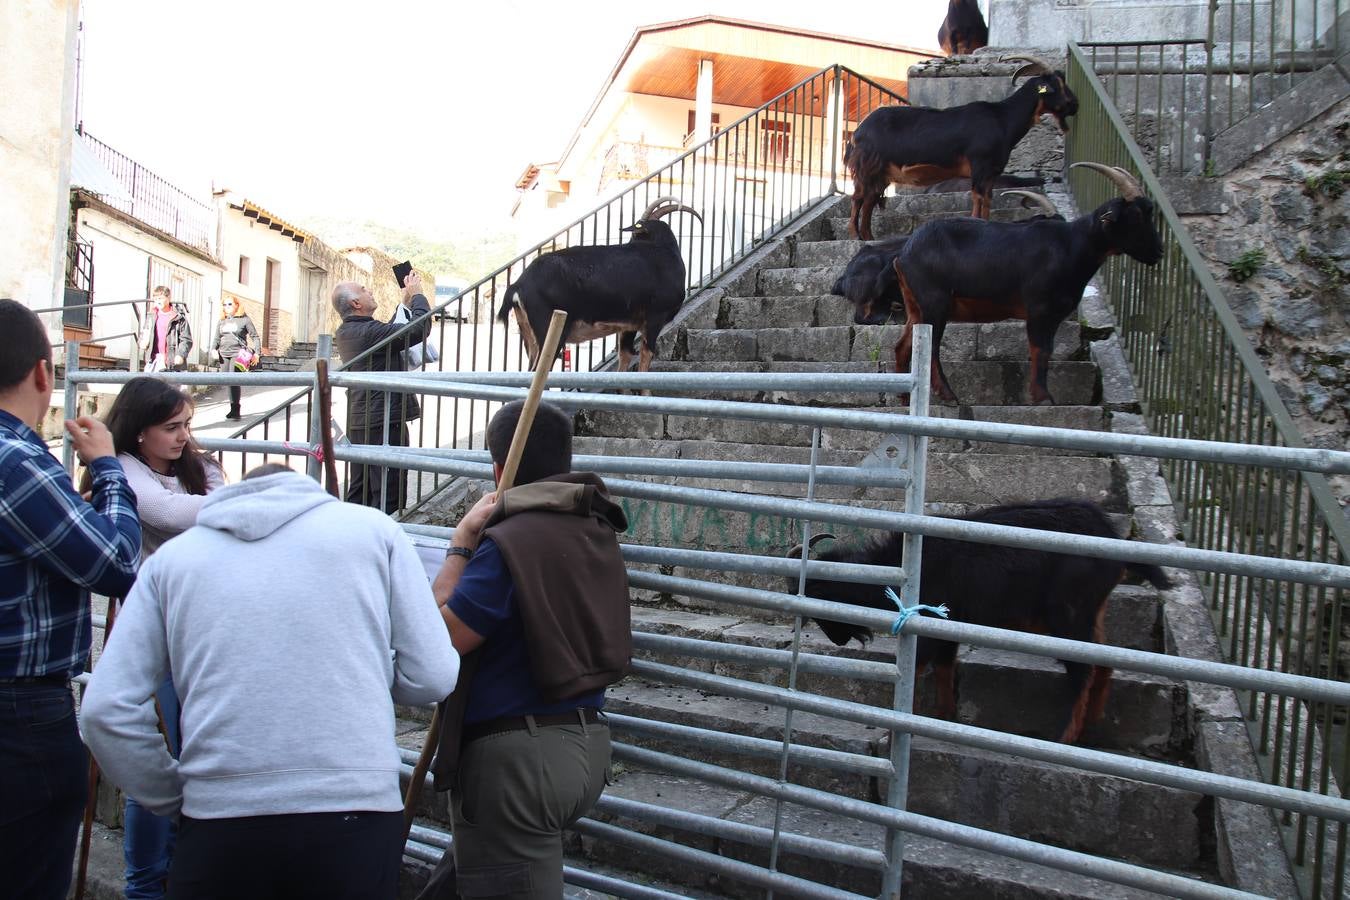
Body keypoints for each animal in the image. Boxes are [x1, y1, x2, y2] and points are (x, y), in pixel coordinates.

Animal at [499, 195, 707, 372]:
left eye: (637, 234)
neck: (665, 253)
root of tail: (518, 286)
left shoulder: (629, 325)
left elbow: (625, 358)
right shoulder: (654, 318)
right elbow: (645, 358)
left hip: (529, 335)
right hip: (550, 330)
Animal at [788, 496, 1171, 744]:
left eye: (816, 597)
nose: (838, 640)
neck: (897, 564)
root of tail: (1113, 540)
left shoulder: (931, 625)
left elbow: (917, 666)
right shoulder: (950, 627)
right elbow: (944, 670)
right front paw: (944, 717)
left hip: (1067, 617)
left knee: (1083, 671)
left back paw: (1066, 738)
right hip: (1090, 614)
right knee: (1103, 663)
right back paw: (1091, 728)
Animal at [842, 54, 1074, 237]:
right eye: (1058, 86)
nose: (1074, 105)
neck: (1002, 117)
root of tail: (858, 131)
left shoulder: (991, 172)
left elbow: (987, 199)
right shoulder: (979, 165)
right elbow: (978, 197)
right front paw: (976, 222)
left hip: (881, 173)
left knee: (869, 200)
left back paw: (868, 237)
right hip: (868, 167)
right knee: (858, 198)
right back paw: (855, 236)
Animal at [891, 163, 1166, 407]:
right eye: (1136, 215)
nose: (1158, 252)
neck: (1073, 244)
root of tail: (904, 254)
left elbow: (1046, 350)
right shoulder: (1040, 308)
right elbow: (1040, 350)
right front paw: (1043, 398)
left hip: (916, 306)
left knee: (903, 345)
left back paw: (904, 397)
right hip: (935, 302)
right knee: (931, 347)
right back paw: (948, 396)